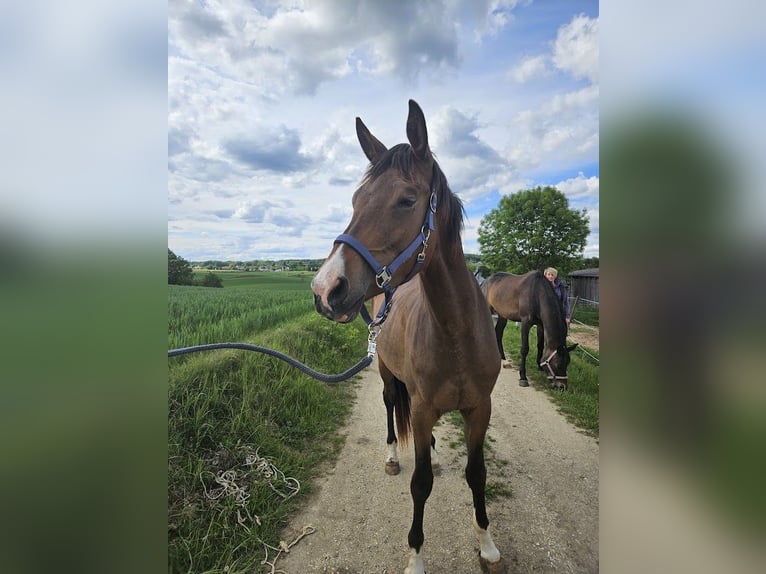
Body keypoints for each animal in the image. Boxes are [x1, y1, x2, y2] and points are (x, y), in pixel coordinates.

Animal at [312, 100, 504, 574]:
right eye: (356, 200)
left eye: (407, 199)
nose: (325, 288)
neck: (455, 333)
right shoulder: (419, 406)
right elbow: (420, 484)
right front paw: (416, 556)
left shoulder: (480, 409)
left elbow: (477, 474)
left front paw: (486, 542)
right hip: (386, 374)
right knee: (388, 409)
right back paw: (393, 456)